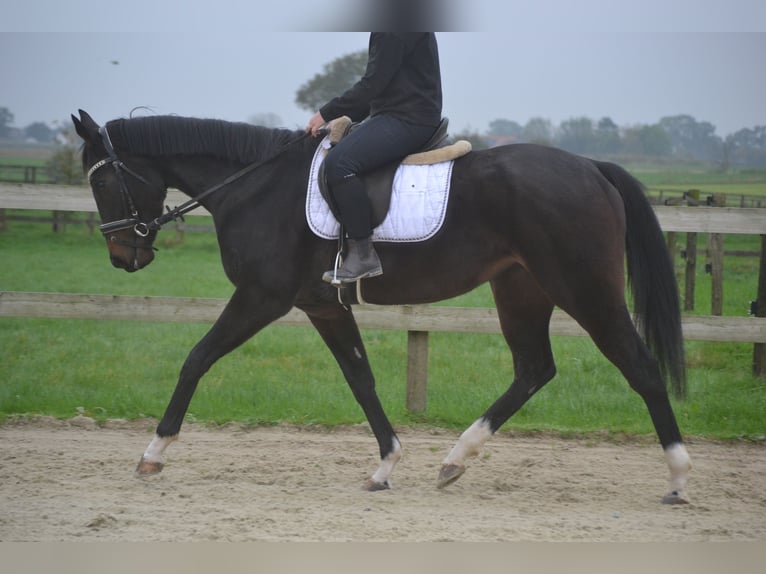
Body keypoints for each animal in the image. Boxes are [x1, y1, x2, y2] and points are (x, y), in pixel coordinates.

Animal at [73, 108, 696, 504]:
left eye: (101, 183)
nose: (123, 257)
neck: (255, 186)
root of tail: (592, 168)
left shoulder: (261, 298)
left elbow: (197, 359)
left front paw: (154, 453)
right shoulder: (322, 307)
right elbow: (361, 379)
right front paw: (385, 465)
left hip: (583, 289)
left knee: (640, 368)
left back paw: (678, 479)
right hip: (521, 290)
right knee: (533, 370)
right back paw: (456, 459)